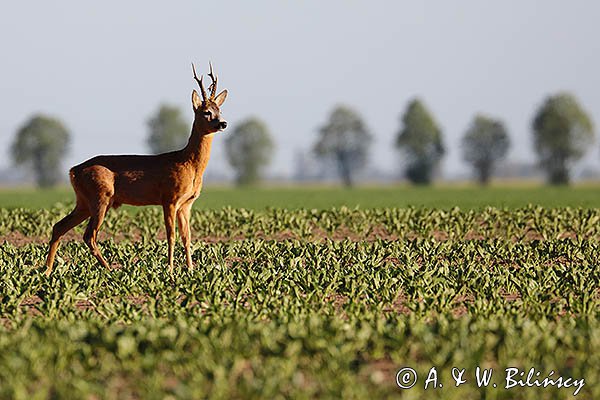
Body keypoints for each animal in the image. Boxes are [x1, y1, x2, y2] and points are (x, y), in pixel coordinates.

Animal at [44, 62, 227, 276]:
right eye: (206, 111)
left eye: (220, 110)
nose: (223, 123)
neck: (188, 164)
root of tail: (73, 170)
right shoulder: (169, 198)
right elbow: (170, 235)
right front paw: (170, 270)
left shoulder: (186, 204)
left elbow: (187, 237)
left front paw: (190, 270)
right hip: (100, 197)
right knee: (89, 235)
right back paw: (109, 269)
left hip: (84, 201)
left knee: (59, 226)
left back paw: (47, 270)